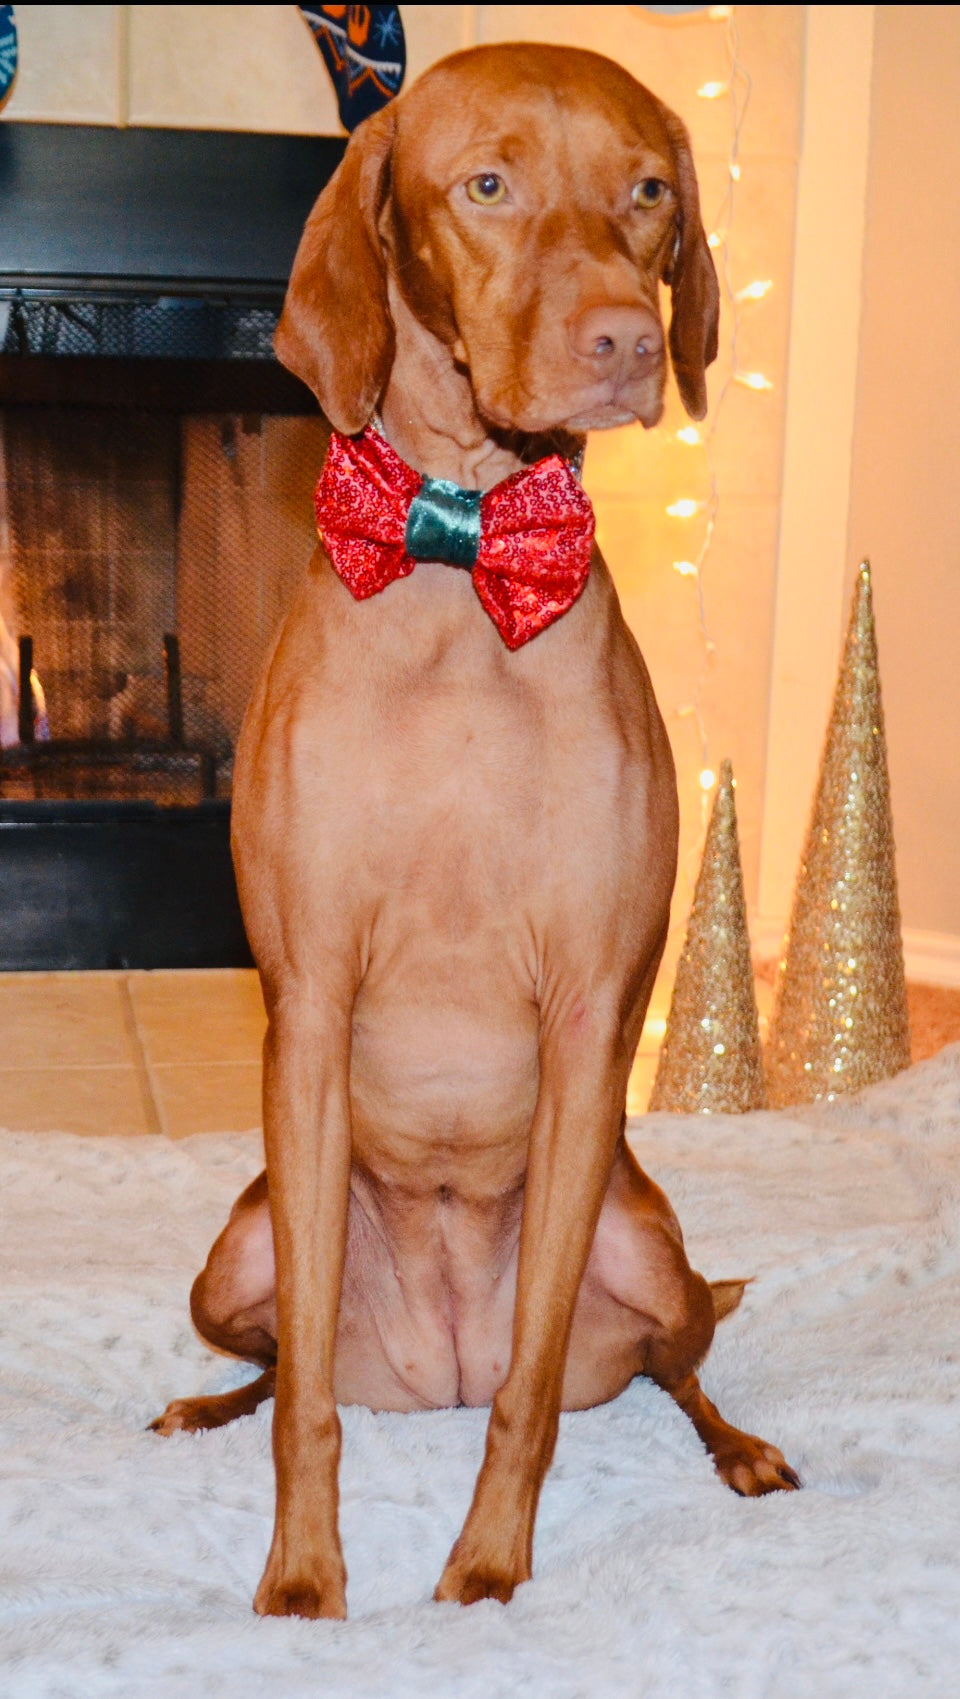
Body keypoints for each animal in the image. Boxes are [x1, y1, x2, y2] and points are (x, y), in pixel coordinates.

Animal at [153, 43, 798, 1617]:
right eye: (486, 185)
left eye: (648, 191)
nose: (627, 343)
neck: (458, 564)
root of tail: (427, 1367)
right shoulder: (310, 1010)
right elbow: (308, 1400)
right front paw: (305, 1581)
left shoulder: (586, 1021)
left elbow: (532, 1390)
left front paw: (488, 1571)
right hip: (237, 1247)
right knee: (277, 1359)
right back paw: (204, 1404)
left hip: (647, 1241)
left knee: (676, 1368)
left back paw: (741, 1447)